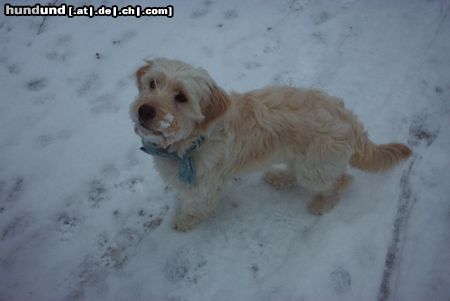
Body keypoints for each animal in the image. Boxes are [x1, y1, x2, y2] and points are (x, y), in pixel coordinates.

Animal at [129, 57, 412, 231]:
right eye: (152, 83)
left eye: (181, 97)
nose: (144, 110)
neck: (192, 140)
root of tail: (348, 118)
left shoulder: (206, 186)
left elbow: (198, 206)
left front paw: (185, 220)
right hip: (300, 156)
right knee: (298, 172)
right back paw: (281, 178)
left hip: (315, 168)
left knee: (343, 180)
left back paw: (323, 202)